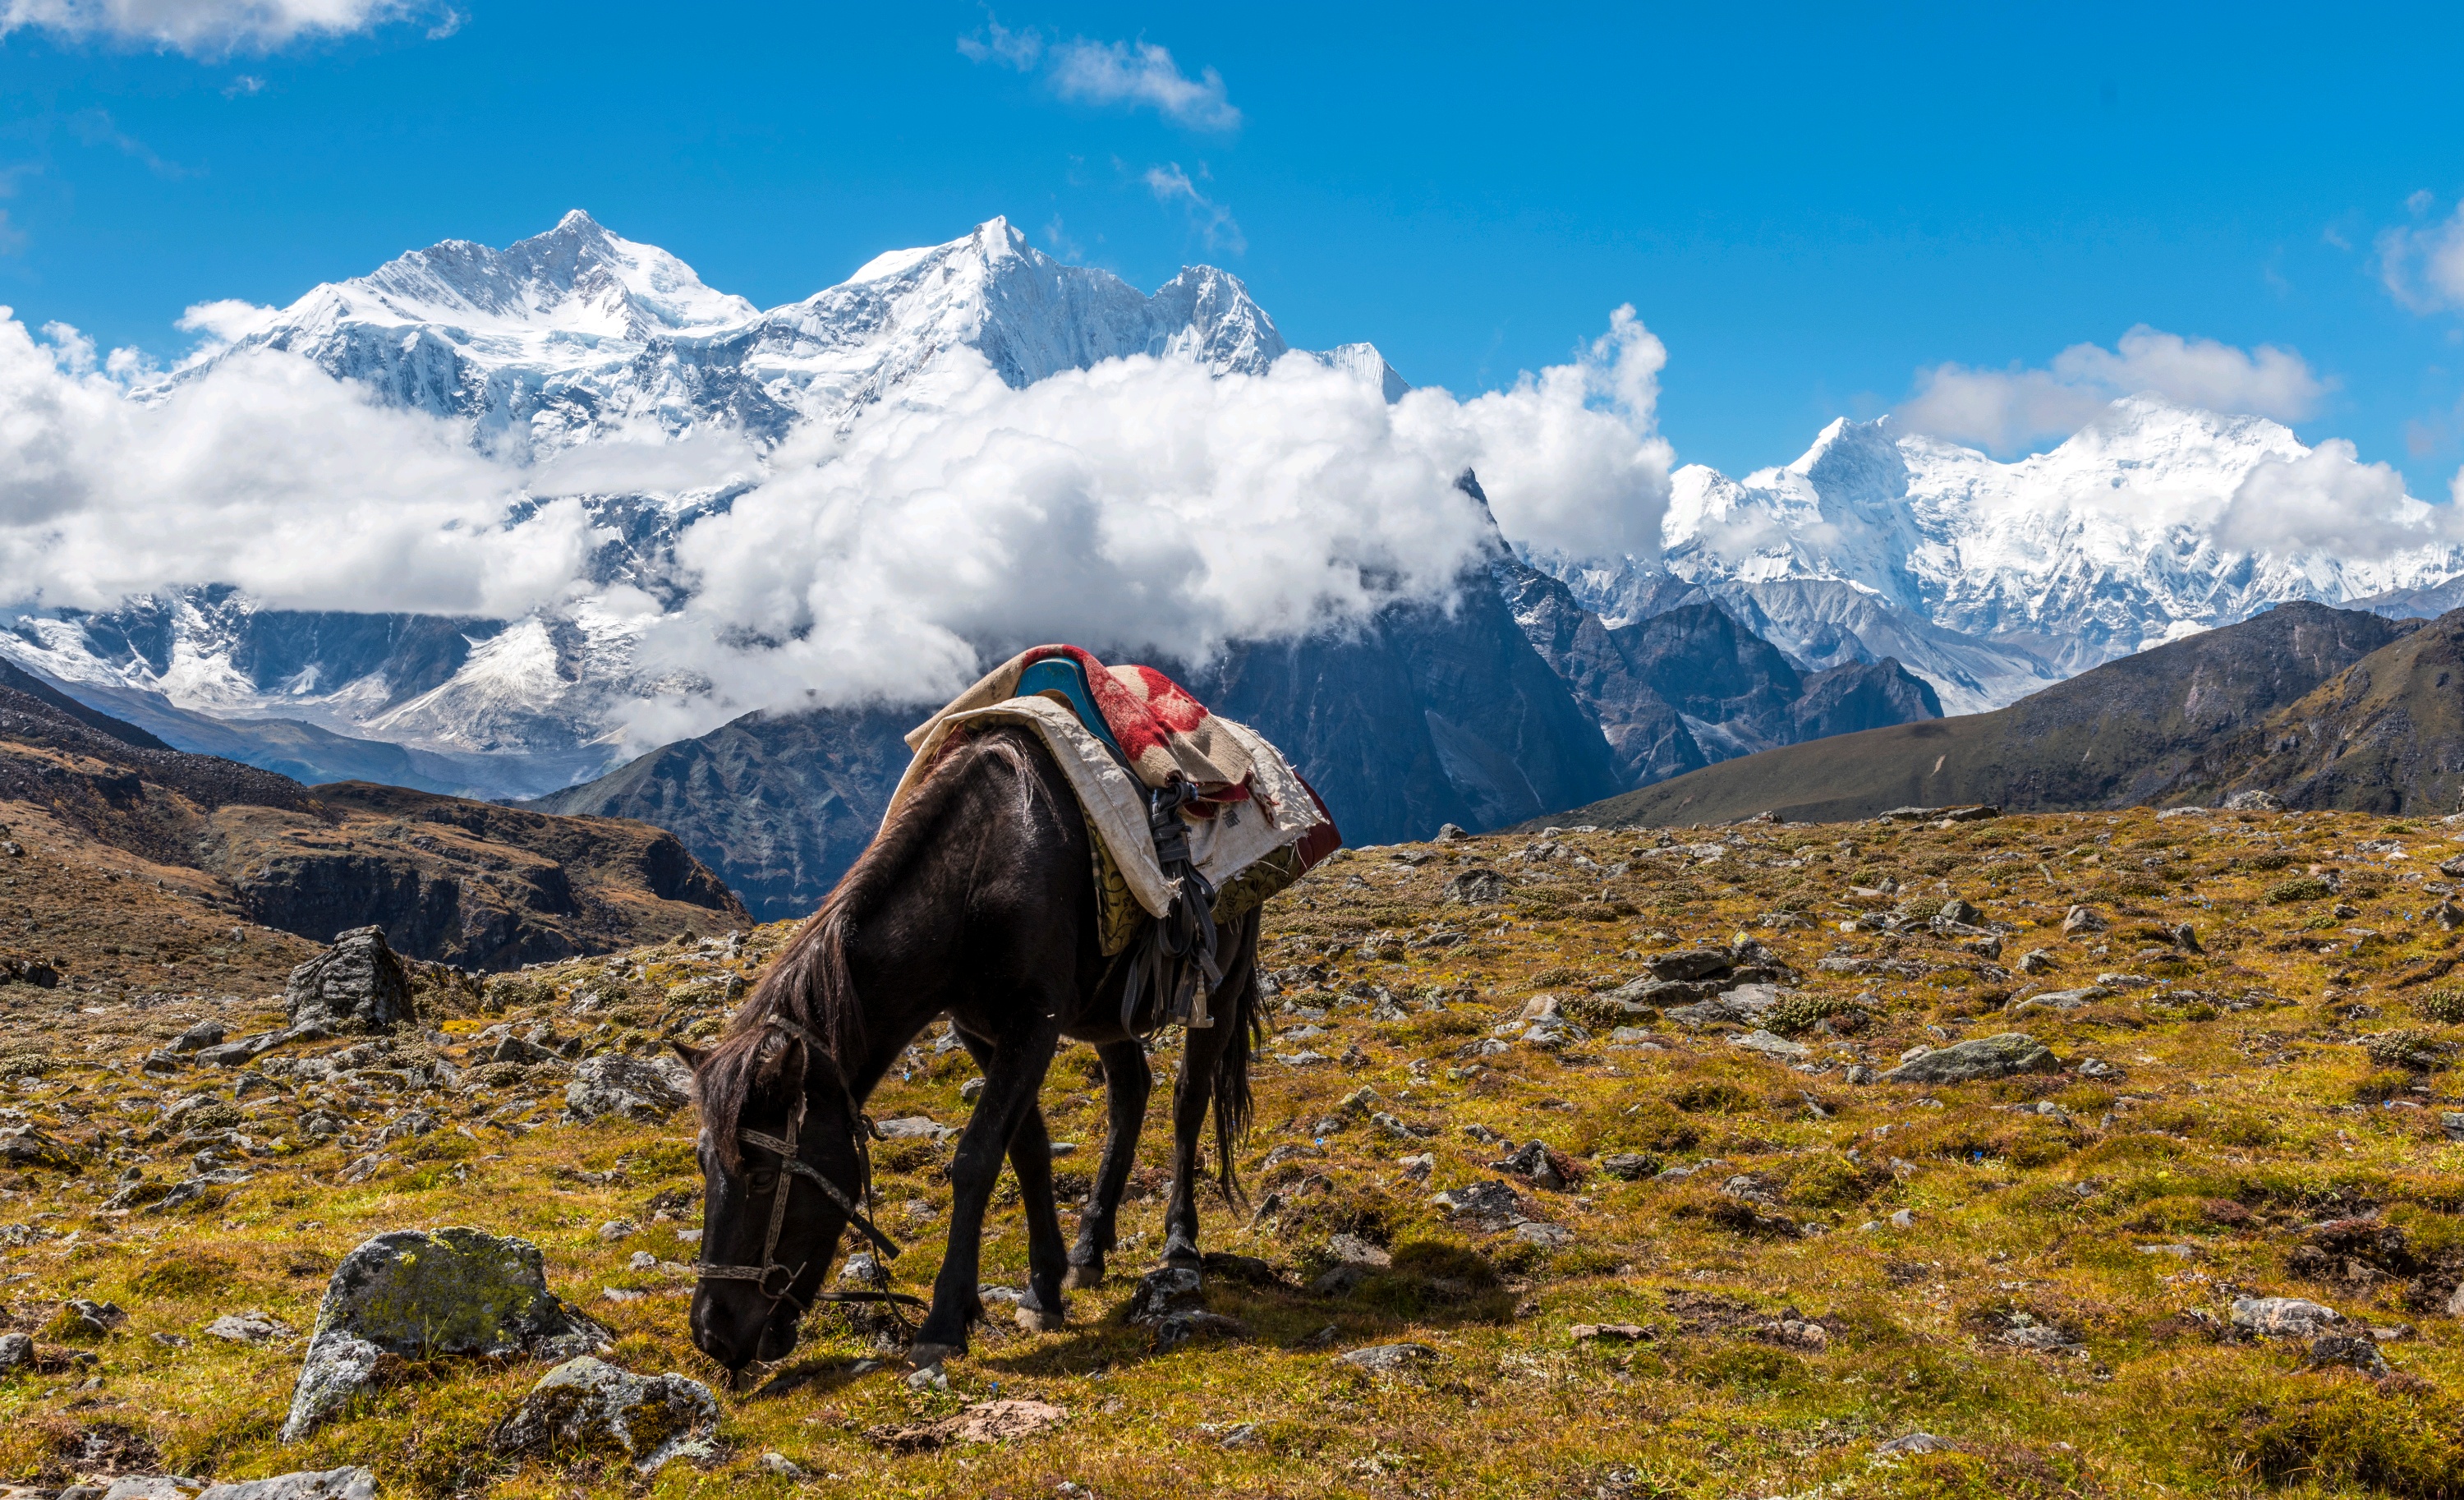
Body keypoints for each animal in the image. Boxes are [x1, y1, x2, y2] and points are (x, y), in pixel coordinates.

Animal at [675, 724, 1262, 1369]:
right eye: (704, 1164)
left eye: (759, 1177)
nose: (712, 1334)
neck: (979, 873)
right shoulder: (980, 1030)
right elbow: (1026, 1148)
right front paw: (1043, 1289)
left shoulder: (1034, 1022)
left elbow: (976, 1155)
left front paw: (945, 1320)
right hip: (1109, 1012)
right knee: (1130, 1096)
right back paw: (1089, 1250)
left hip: (1220, 986)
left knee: (1188, 1100)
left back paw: (1180, 1242)